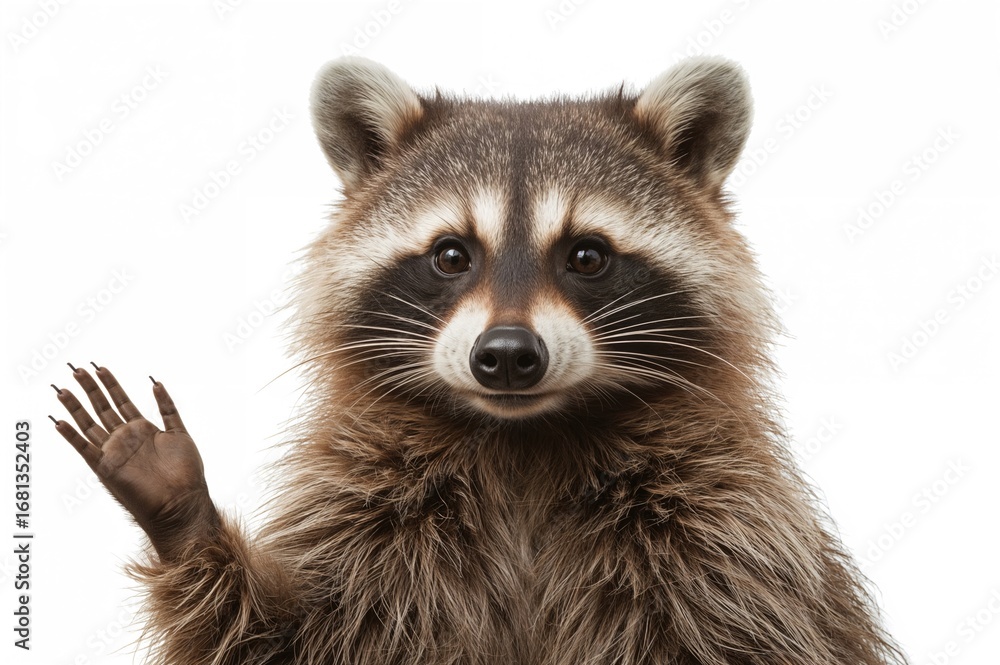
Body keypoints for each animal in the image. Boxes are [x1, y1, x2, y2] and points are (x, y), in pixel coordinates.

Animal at [52, 57, 907, 664]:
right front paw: (179, 510)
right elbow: (286, 639)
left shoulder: (727, 526)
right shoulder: (367, 509)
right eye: (451, 254)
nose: (506, 356)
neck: (523, 440)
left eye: (587, 255)